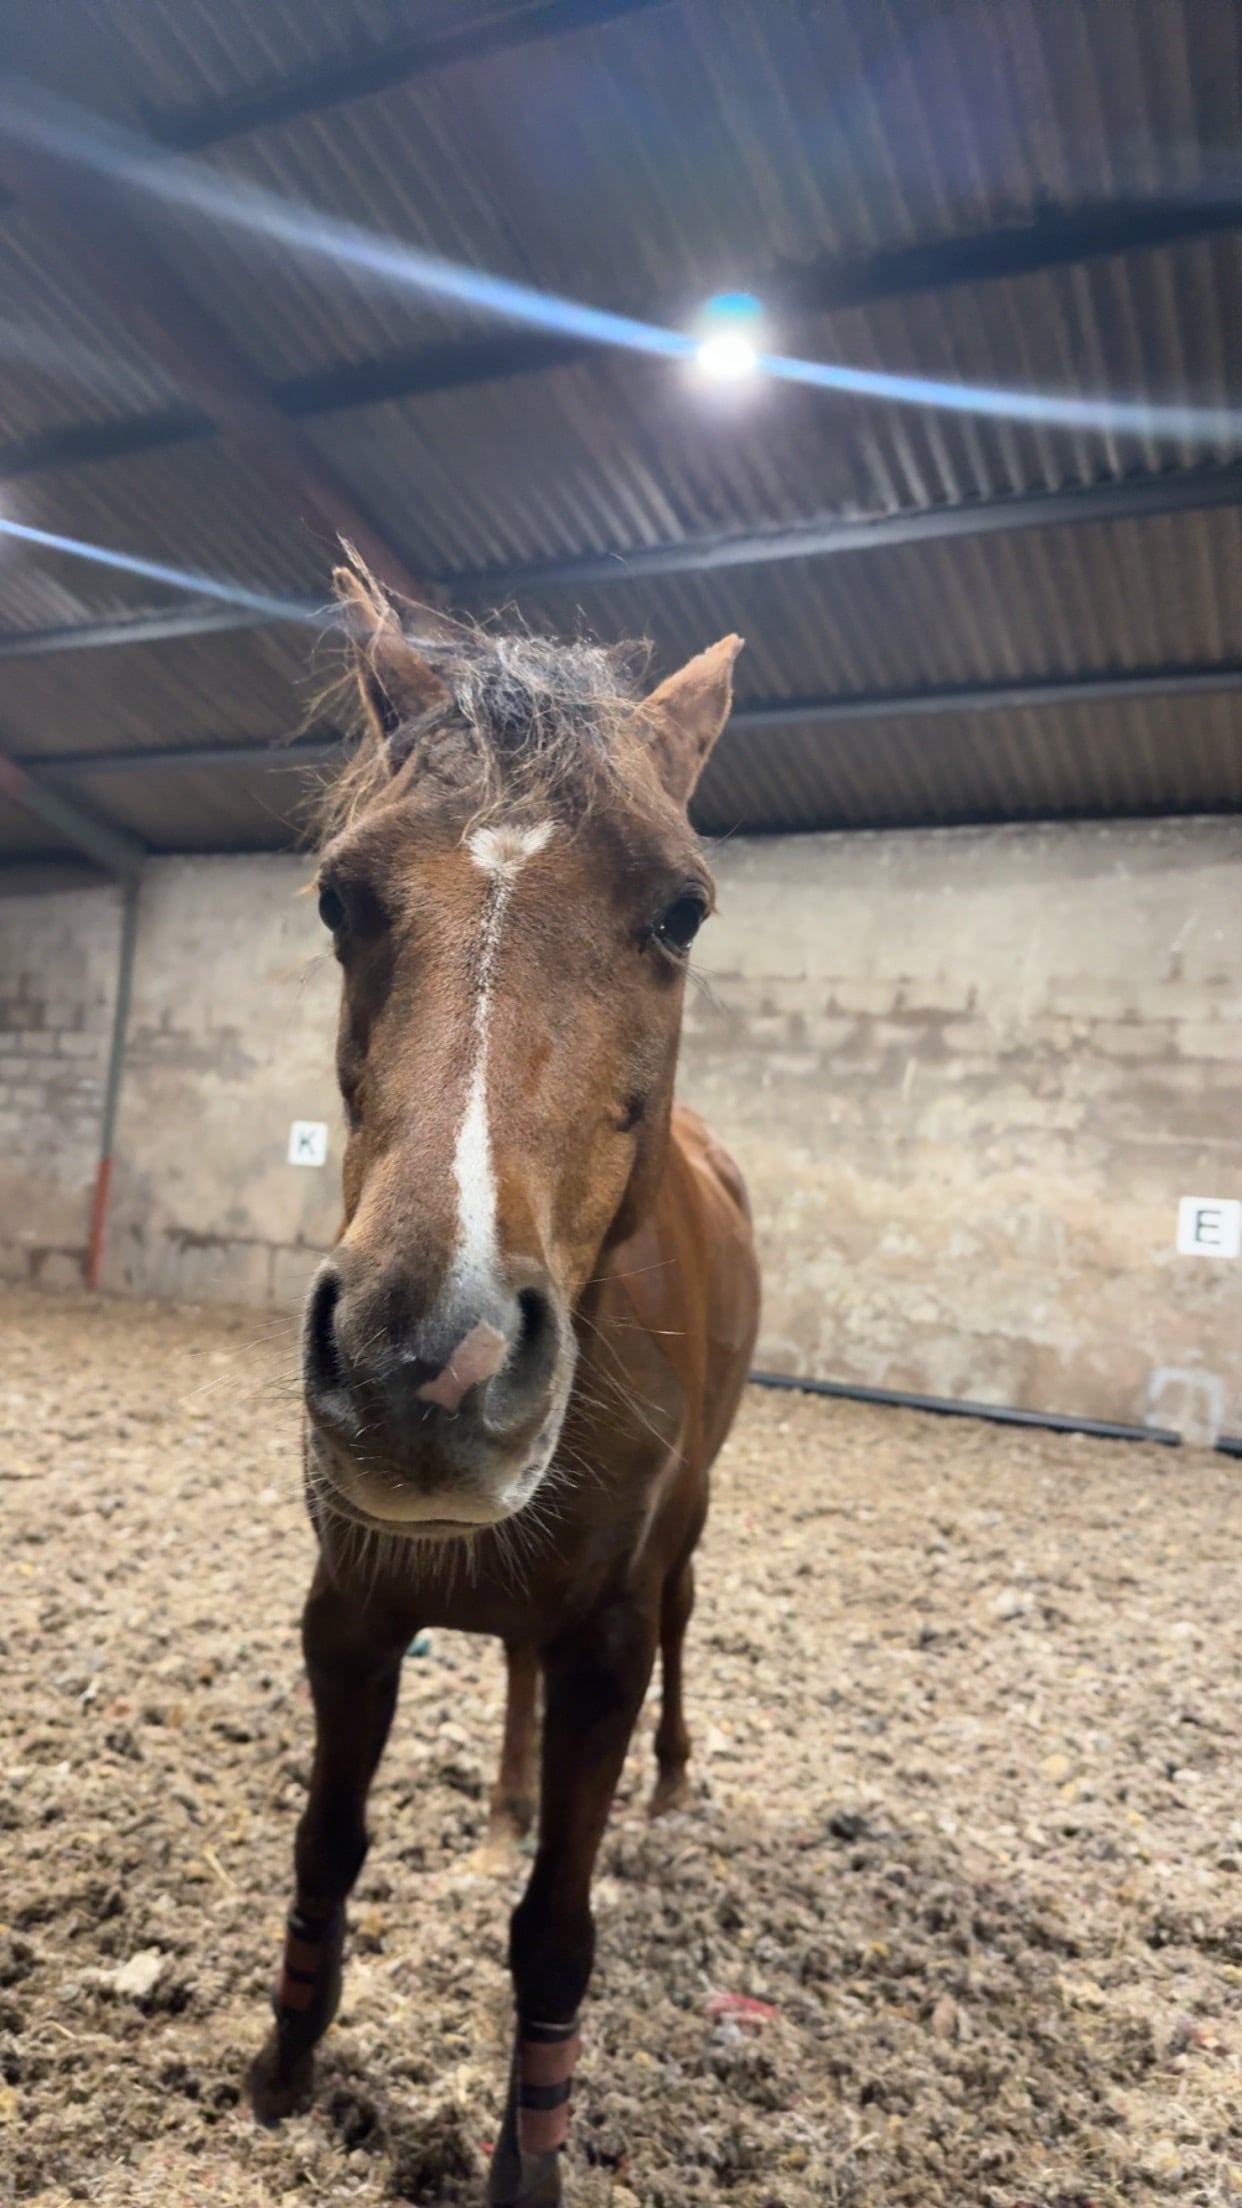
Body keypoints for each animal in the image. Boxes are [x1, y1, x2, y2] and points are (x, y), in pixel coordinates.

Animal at [249, 556, 761, 2208]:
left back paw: (668, 1792)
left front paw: (523, 2165)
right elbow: (324, 1845)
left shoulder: (606, 1638)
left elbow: (554, 1933)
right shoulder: (350, 1612)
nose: (425, 1363)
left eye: (680, 909)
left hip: (685, 1546)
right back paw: (501, 1805)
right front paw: (283, 2072)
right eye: (341, 897)